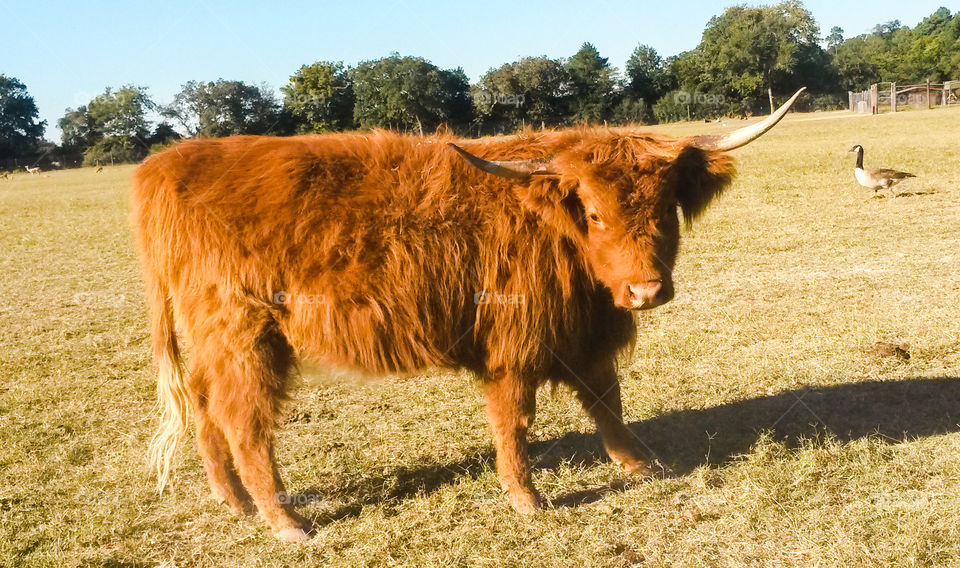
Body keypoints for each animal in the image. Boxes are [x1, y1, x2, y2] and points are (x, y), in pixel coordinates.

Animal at [131, 86, 808, 540]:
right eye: (593, 212)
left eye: (667, 206)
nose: (645, 291)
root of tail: (167, 165)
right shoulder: (514, 342)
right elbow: (514, 420)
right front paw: (526, 498)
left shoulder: (583, 332)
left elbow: (605, 399)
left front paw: (638, 464)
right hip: (245, 337)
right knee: (245, 423)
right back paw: (284, 520)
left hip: (215, 341)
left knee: (205, 408)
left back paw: (233, 502)